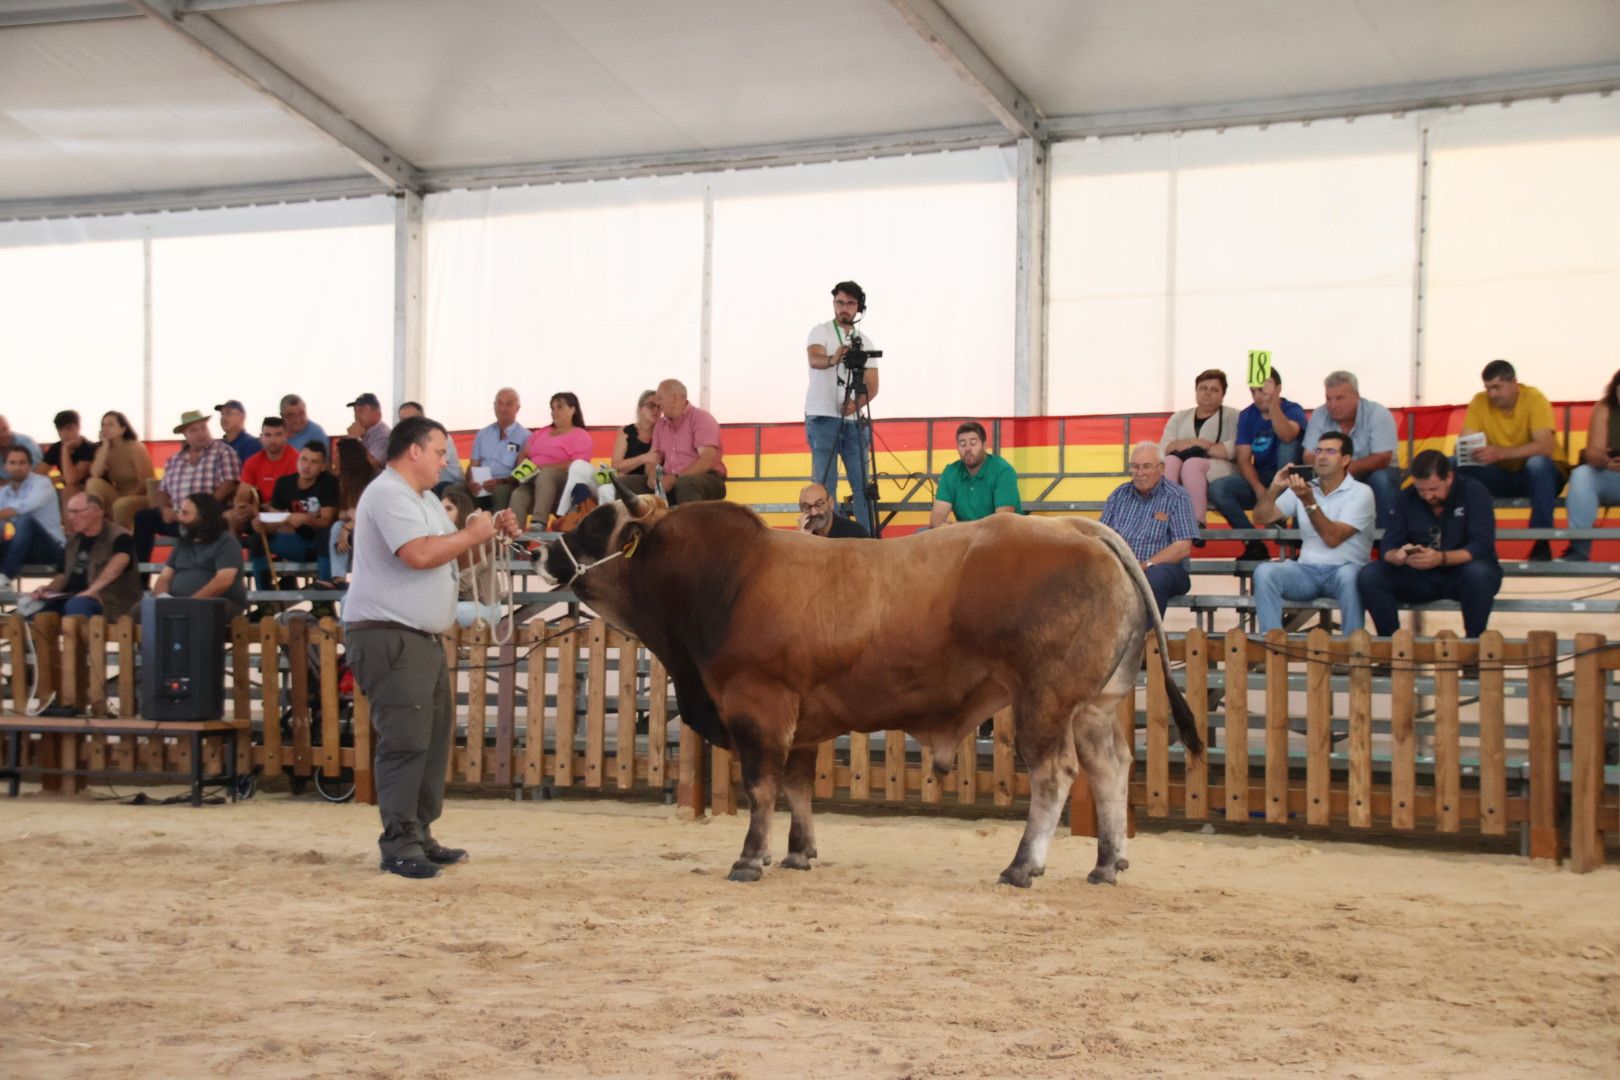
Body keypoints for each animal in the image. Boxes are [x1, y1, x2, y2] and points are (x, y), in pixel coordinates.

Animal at [544, 495, 1205, 893]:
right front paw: (798, 852)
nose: (545, 551)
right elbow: (797, 787)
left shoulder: (759, 707)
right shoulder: (801, 719)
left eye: (598, 524)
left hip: (1043, 698)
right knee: (1110, 767)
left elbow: (761, 787)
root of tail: (1077, 525)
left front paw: (750, 858)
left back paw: (1023, 864)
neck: (727, 579)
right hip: (1095, 703)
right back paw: (1107, 862)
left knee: (1055, 772)